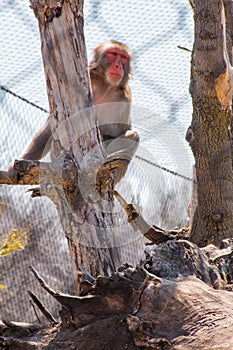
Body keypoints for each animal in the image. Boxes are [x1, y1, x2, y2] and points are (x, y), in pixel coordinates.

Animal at [7, 40, 139, 183]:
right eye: (113, 54)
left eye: (124, 57)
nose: (118, 65)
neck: (104, 87)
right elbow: (51, 127)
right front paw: (21, 161)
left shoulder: (125, 99)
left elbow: (117, 133)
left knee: (133, 136)